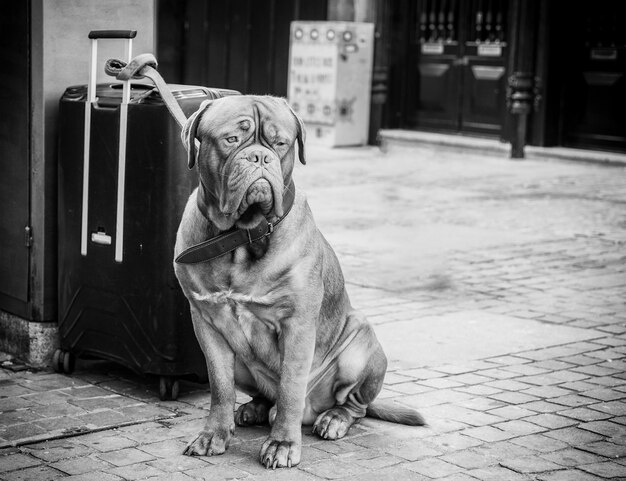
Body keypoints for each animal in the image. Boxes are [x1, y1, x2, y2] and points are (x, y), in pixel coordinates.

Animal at [173, 95, 422, 466]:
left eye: (280, 143)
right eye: (231, 140)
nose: (260, 157)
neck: (243, 237)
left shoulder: (298, 324)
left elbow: (290, 386)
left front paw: (283, 445)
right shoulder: (206, 322)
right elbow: (220, 387)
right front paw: (213, 435)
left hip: (360, 343)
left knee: (353, 405)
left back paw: (333, 419)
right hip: (243, 363)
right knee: (262, 395)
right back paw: (253, 410)